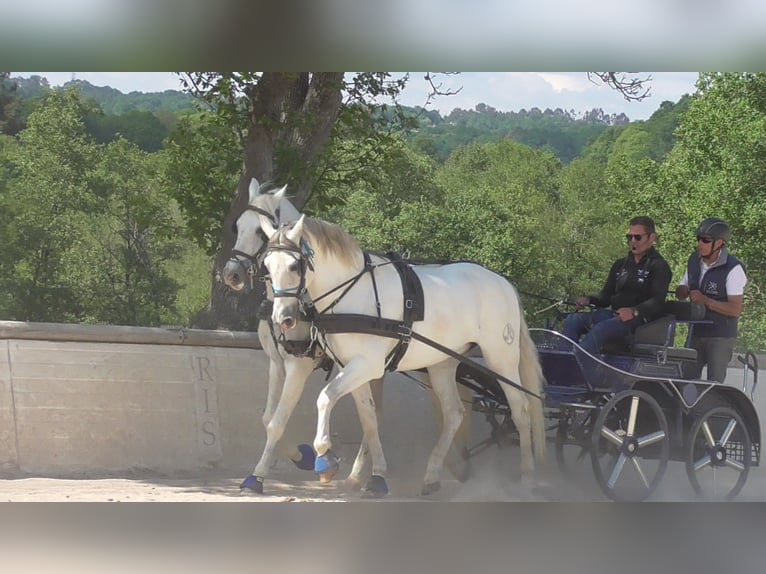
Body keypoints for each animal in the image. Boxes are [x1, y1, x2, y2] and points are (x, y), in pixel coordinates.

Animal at [225, 180, 388, 496]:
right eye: (237, 227)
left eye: (260, 232)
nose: (232, 274)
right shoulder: (276, 363)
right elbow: (269, 417)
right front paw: (302, 456)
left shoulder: (298, 366)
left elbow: (278, 420)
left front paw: (258, 476)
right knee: (370, 414)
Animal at [260, 214, 548, 498]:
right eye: (267, 267)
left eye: (294, 266)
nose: (283, 318)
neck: (354, 293)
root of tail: (504, 283)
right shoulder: (351, 366)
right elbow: (369, 418)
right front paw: (372, 477)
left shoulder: (368, 365)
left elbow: (325, 398)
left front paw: (324, 457)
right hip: (442, 364)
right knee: (454, 413)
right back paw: (431, 477)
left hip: (501, 358)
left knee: (521, 410)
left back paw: (527, 477)